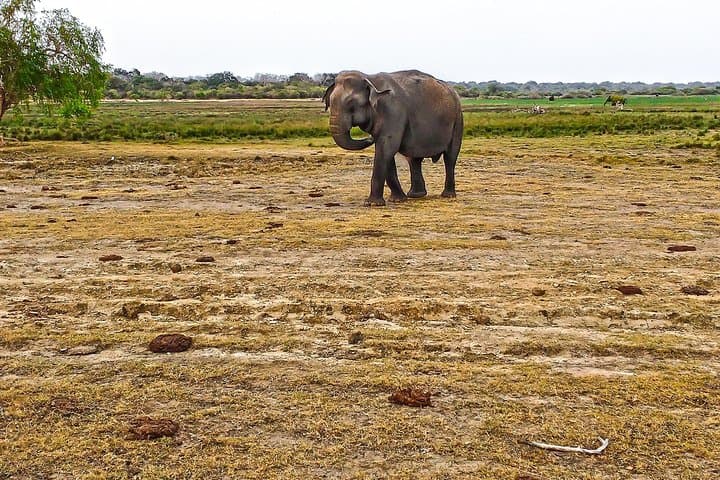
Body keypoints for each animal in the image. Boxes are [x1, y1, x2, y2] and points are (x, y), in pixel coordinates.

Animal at [322, 70, 463, 206]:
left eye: (351, 103)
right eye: (330, 102)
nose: (369, 139)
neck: (369, 78)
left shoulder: (393, 112)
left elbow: (386, 148)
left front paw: (372, 204)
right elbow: (386, 152)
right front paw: (397, 200)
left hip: (457, 120)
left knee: (450, 157)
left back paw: (447, 195)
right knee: (414, 159)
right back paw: (415, 195)